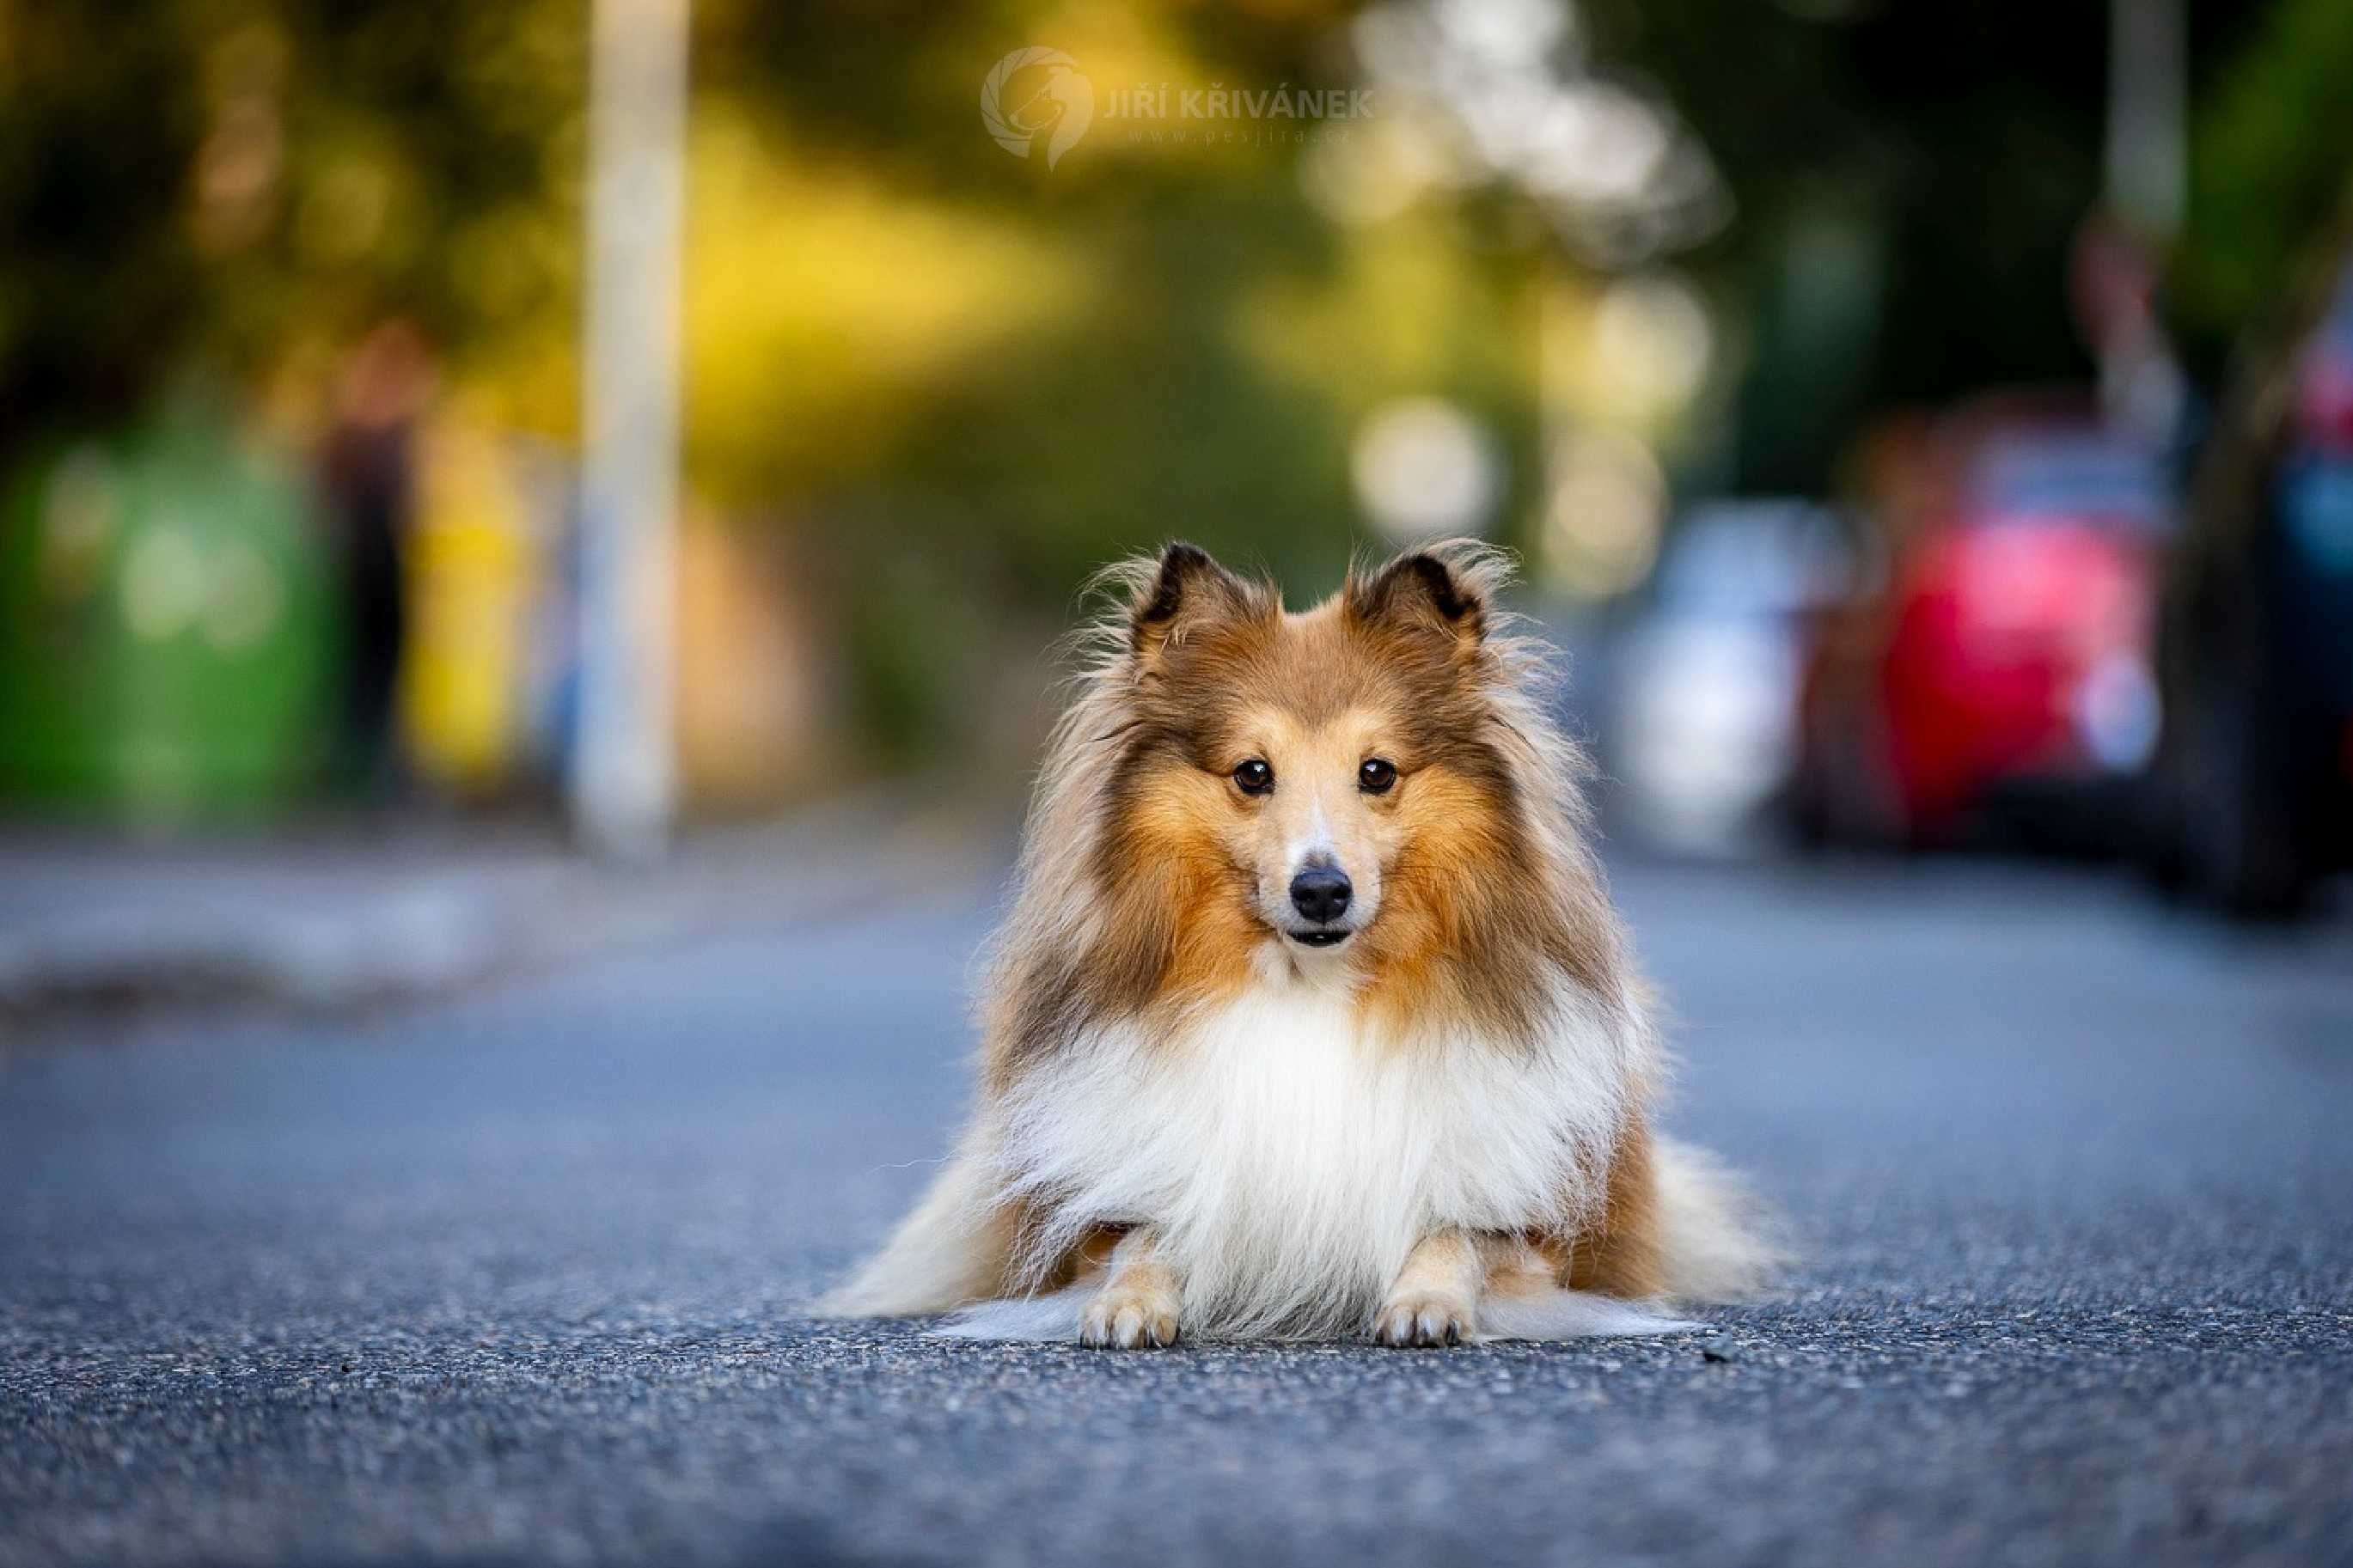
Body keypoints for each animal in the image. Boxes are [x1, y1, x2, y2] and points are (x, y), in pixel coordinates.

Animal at [818, 545, 1769, 1345]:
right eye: (1252, 773)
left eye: (1377, 772)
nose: (1321, 890)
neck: (1313, 981)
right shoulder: (1104, 1204)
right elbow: (1144, 1236)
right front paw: (1126, 1305)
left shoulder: (1539, 1225)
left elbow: (1455, 1231)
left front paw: (1425, 1302)